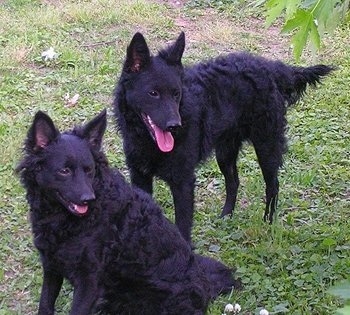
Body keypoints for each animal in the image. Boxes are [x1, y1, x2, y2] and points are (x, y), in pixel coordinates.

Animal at [17, 110, 238, 314]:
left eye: (89, 170)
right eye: (64, 171)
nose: (89, 199)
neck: (63, 219)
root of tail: (204, 283)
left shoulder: (88, 280)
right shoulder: (51, 266)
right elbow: (45, 304)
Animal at [114, 32, 334, 242]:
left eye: (176, 94)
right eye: (153, 93)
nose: (175, 125)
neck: (147, 140)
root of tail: (269, 66)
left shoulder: (183, 181)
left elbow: (183, 226)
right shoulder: (140, 176)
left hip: (267, 146)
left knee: (273, 185)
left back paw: (268, 222)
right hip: (225, 152)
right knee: (233, 182)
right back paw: (226, 216)